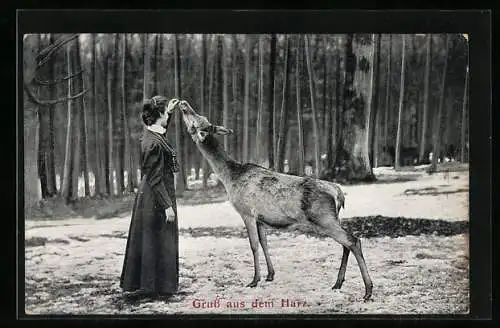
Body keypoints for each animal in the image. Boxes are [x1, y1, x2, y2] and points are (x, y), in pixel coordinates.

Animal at [178, 98, 374, 302]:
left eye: (195, 120)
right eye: (199, 116)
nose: (183, 103)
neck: (229, 177)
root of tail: (338, 193)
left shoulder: (246, 212)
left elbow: (254, 245)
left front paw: (254, 280)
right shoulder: (261, 218)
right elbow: (264, 243)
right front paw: (270, 274)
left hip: (324, 218)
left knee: (353, 240)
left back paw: (367, 290)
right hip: (332, 219)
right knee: (346, 243)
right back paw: (338, 283)